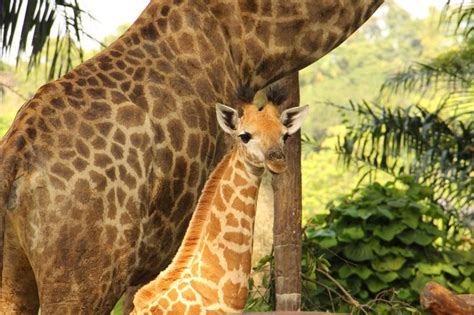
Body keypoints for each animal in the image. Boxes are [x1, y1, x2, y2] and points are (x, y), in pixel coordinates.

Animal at [0, 1, 384, 314]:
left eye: (284, 135)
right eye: (244, 136)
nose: (277, 159)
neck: (246, 45)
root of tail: (15, 159)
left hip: (15, 277)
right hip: (84, 279)